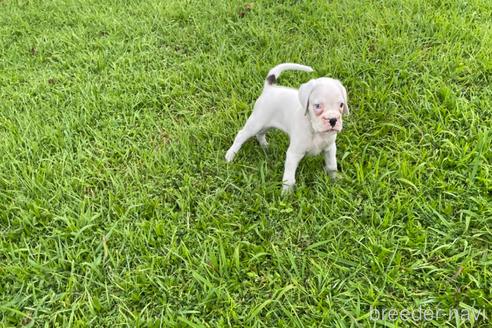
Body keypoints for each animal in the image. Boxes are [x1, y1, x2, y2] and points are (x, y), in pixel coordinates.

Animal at [227, 62, 350, 191]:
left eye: (341, 105)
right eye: (317, 106)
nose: (333, 119)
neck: (315, 131)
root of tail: (270, 88)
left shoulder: (330, 149)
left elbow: (332, 166)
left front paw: (334, 181)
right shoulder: (293, 154)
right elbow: (289, 178)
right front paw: (286, 193)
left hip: (267, 125)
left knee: (260, 134)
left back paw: (265, 146)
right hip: (256, 122)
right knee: (241, 135)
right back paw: (230, 155)